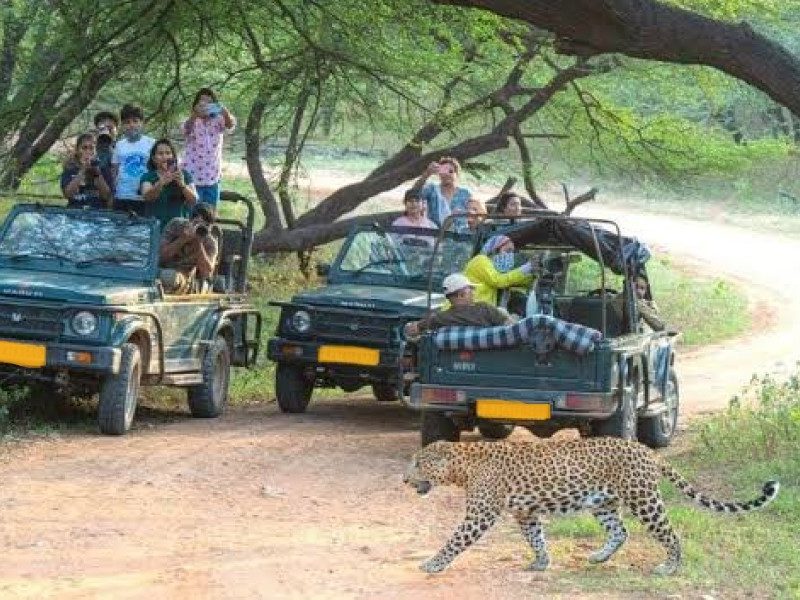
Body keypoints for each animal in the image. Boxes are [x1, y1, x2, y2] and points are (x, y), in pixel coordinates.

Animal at [403, 437, 779, 576]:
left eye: (418, 464)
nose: (405, 480)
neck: (462, 467)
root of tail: (648, 451)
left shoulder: (480, 514)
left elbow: (454, 540)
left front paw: (432, 564)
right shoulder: (526, 513)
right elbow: (536, 538)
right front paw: (542, 563)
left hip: (643, 499)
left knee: (671, 534)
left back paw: (669, 567)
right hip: (604, 503)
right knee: (621, 531)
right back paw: (599, 556)